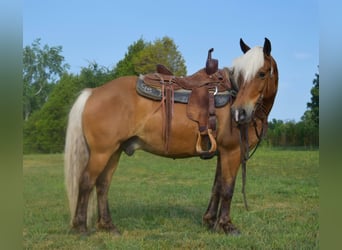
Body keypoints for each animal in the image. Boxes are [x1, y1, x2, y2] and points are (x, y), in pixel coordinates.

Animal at [63, 37, 278, 234]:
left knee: (102, 184)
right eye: (241, 75)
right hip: (101, 153)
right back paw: (80, 227)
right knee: (86, 181)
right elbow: (227, 188)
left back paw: (108, 225)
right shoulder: (232, 152)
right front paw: (226, 226)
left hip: (113, 152)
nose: (239, 112)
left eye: (262, 73)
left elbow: (216, 187)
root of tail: (93, 92)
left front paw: (210, 221)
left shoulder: (222, 153)